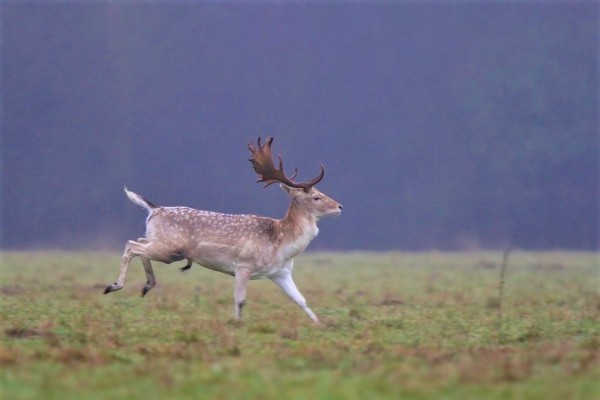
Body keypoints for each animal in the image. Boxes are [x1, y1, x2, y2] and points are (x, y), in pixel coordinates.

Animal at [104, 136, 342, 324]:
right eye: (316, 197)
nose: (340, 206)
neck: (282, 244)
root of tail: (154, 209)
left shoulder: (281, 273)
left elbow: (300, 300)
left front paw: (320, 325)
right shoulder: (244, 266)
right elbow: (240, 299)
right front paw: (237, 323)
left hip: (164, 246)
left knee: (139, 242)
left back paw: (147, 285)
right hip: (169, 248)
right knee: (131, 246)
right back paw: (113, 286)